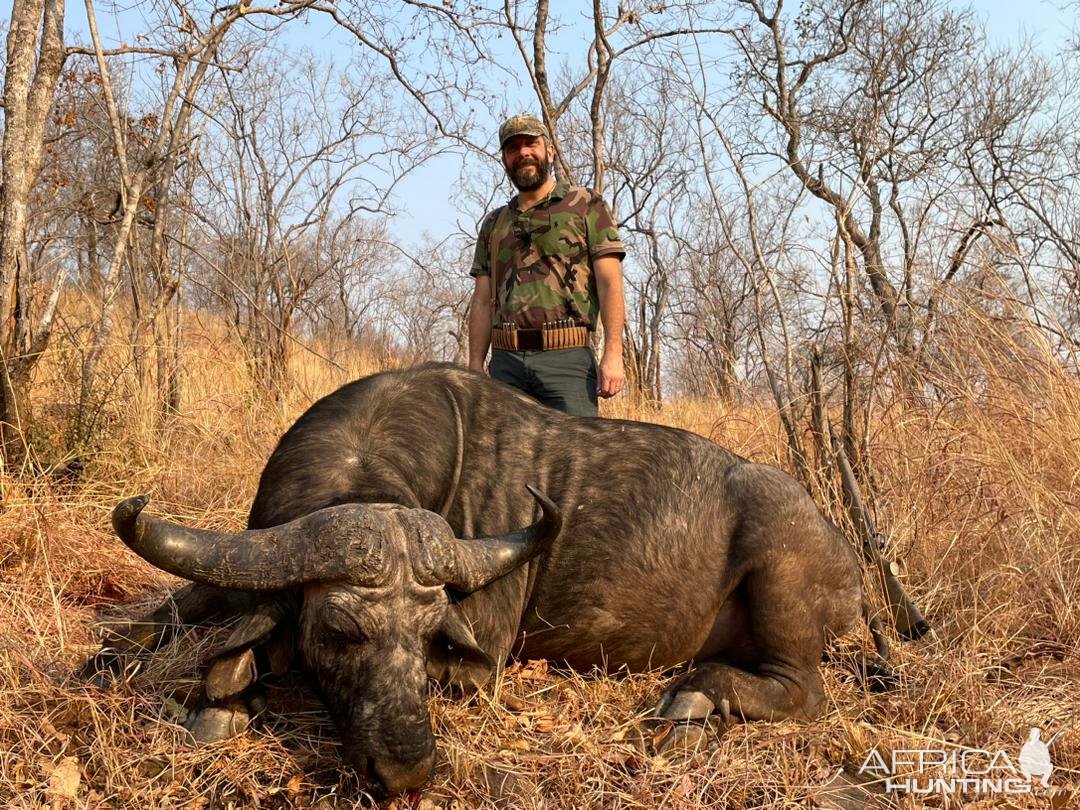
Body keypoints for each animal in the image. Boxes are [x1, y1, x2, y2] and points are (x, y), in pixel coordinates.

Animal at [88, 365, 885, 794]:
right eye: (341, 630)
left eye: (428, 636)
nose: (407, 770)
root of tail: (848, 562)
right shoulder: (237, 569)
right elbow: (157, 619)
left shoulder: (479, 664)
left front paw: (227, 699)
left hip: (779, 574)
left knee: (802, 690)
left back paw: (693, 699)